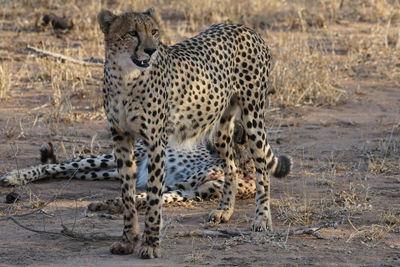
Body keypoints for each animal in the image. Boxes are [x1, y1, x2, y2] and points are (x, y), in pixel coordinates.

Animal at [97, 8, 290, 260]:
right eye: (132, 33)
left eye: (154, 31)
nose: (151, 50)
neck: (125, 77)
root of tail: (244, 27)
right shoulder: (121, 138)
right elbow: (127, 194)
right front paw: (128, 240)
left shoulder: (156, 143)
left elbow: (154, 197)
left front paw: (150, 245)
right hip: (220, 128)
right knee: (232, 165)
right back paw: (224, 210)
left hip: (253, 116)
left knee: (262, 169)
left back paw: (262, 219)